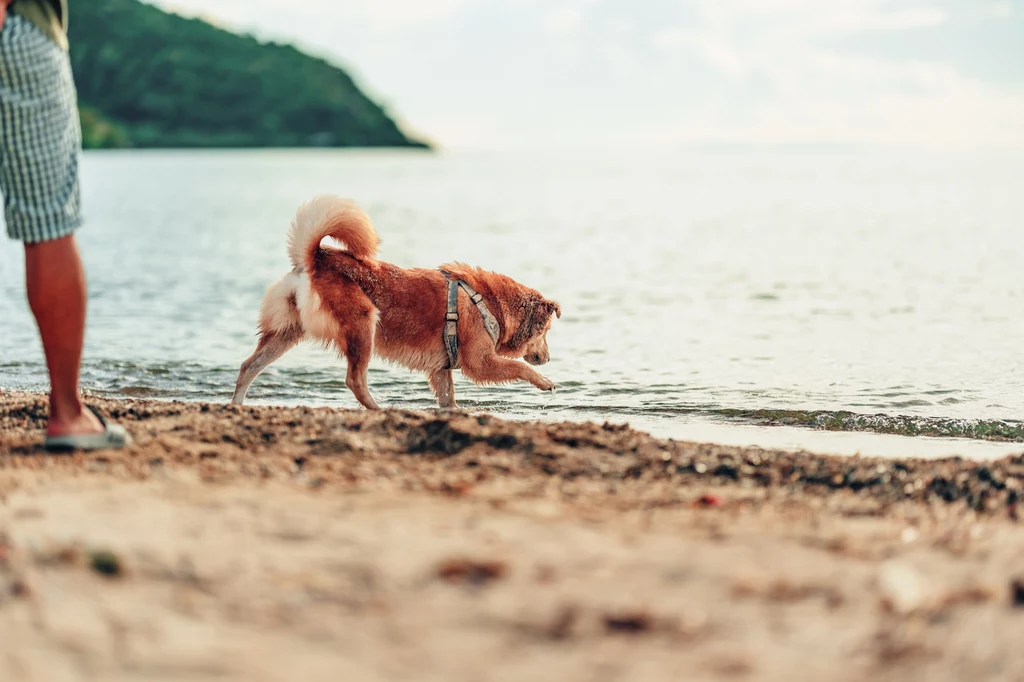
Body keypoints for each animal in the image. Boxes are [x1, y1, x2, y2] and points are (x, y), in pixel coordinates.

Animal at [231, 196, 561, 409]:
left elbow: (448, 400)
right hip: (363, 324)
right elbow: (518, 368)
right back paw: (378, 409)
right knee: (354, 380)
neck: (490, 303)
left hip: (286, 332)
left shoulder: (441, 370)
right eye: (546, 333)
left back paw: (236, 406)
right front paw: (544, 380)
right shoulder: (479, 363)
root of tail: (315, 257)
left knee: (248, 366)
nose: (547, 358)